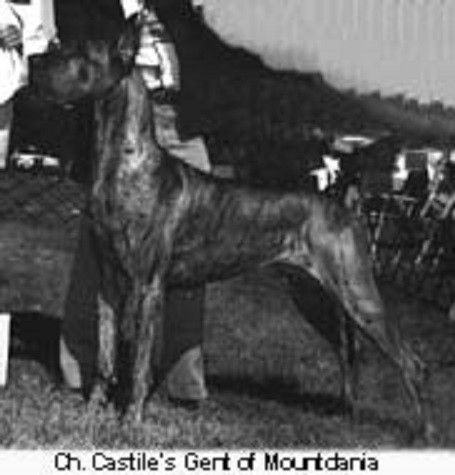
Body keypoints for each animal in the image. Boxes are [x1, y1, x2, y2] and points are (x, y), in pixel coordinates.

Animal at [31, 19, 433, 439]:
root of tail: (344, 202)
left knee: (412, 363)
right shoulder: (108, 283)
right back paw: (346, 412)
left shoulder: (147, 287)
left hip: (357, 293)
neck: (122, 161)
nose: (33, 60)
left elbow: (138, 365)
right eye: (62, 44)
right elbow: (106, 357)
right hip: (315, 295)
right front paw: (93, 411)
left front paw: (132, 420)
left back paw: (425, 434)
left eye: (79, 52)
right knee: (349, 350)